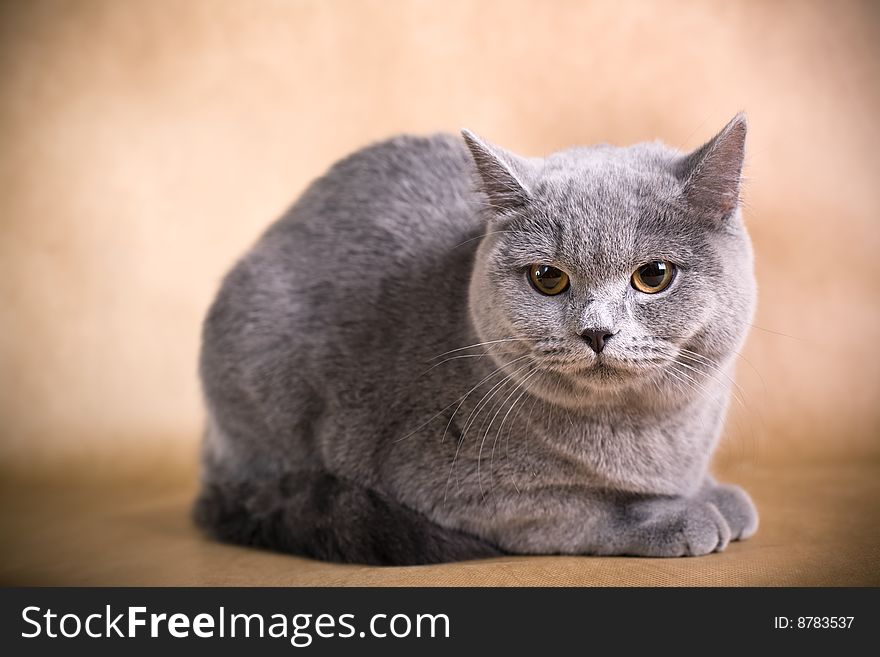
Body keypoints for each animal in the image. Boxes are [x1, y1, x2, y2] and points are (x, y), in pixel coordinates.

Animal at [192, 113, 756, 564]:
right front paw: (679, 514)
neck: (649, 432)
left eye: (654, 275)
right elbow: (585, 507)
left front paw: (713, 493)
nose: (597, 331)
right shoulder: (455, 486)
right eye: (547, 278)